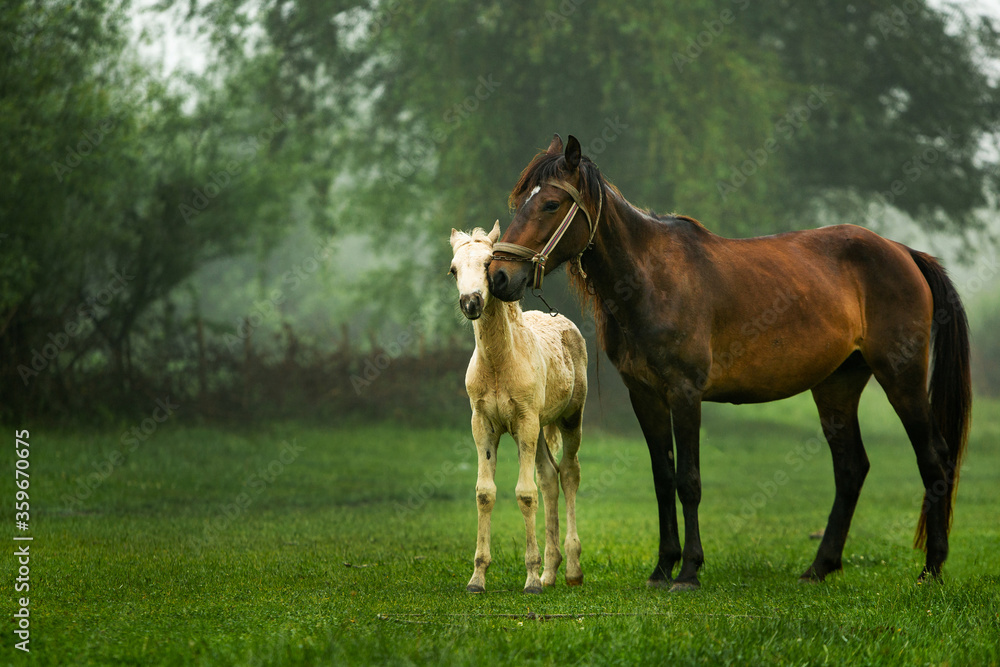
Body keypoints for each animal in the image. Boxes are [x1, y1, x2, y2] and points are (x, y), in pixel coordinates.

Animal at [452, 222, 588, 592]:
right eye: (453, 270)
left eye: (488, 263)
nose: (470, 302)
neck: (500, 363)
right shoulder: (482, 423)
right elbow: (485, 493)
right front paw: (477, 578)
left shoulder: (525, 421)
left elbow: (526, 494)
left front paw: (530, 580)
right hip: (539, 428)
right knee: (549, 477)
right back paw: (550, 571)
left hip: (569, 419)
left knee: (568, 473)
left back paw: (570, 570)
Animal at [488, 134, 972, 588]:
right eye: (521, 200)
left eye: (551, 203)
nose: (499, 276)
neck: (651, 278)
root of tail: (903, 252)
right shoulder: (645, 395)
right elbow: (663, 478)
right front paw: (662, 567)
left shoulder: (685, 393)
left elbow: (689, 480)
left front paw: (689, 571)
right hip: (837, 385)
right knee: (851, 468)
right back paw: (819, 568)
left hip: (901, 378)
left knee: (934, 459)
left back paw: (932, 569)